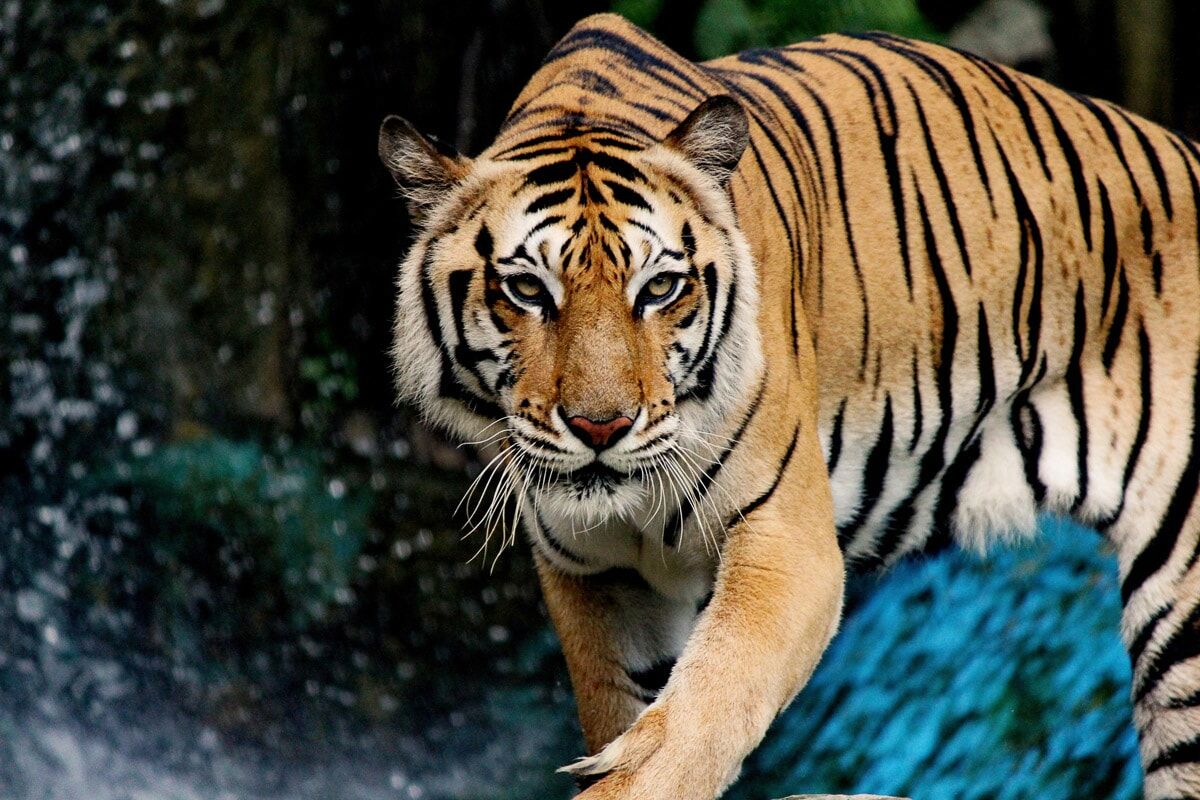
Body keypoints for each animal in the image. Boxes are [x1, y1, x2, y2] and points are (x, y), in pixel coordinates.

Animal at [378, 13, 1200, 800]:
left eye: (660, 288)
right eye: (526, 290)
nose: (600, 427)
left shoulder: (787, 543)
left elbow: (698, 716)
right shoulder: (595, 576)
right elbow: (627, 709)